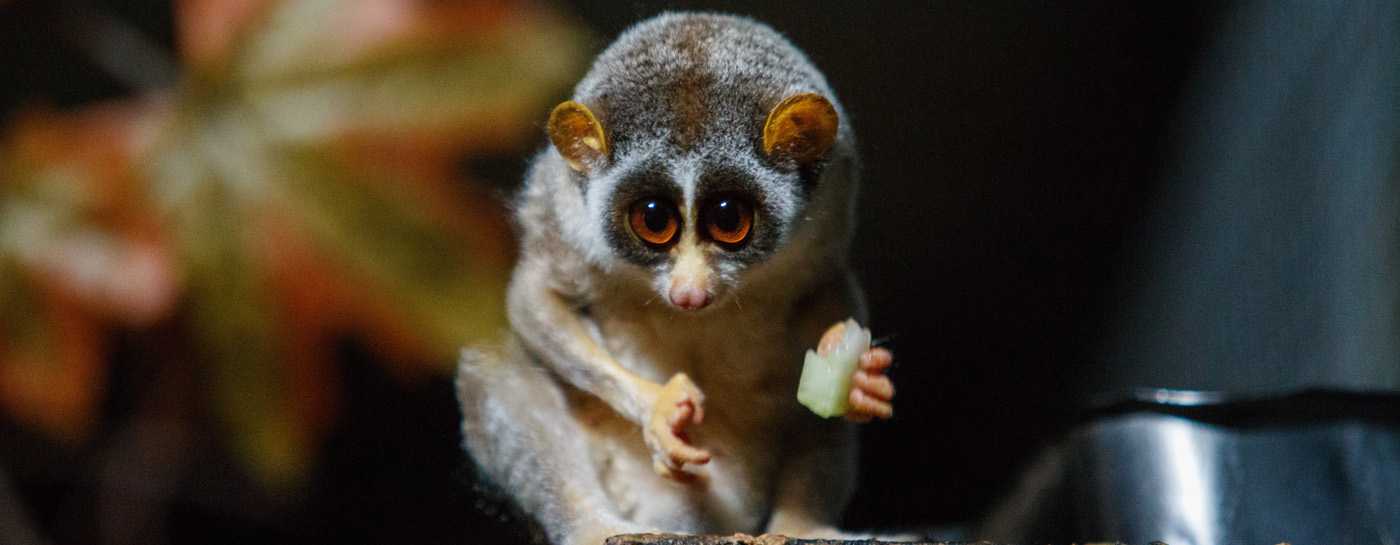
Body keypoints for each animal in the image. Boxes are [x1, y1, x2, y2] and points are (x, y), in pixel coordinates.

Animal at [456, 12, 897, 545]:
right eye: (652, 221)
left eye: (729, 220)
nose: (689, 294)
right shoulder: (566, 216)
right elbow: (534, 296)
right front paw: (658, 409)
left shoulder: (830, 215)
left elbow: (828, 292)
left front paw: (856, 379)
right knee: (495, 360)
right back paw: (593, 525)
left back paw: (803, 526)